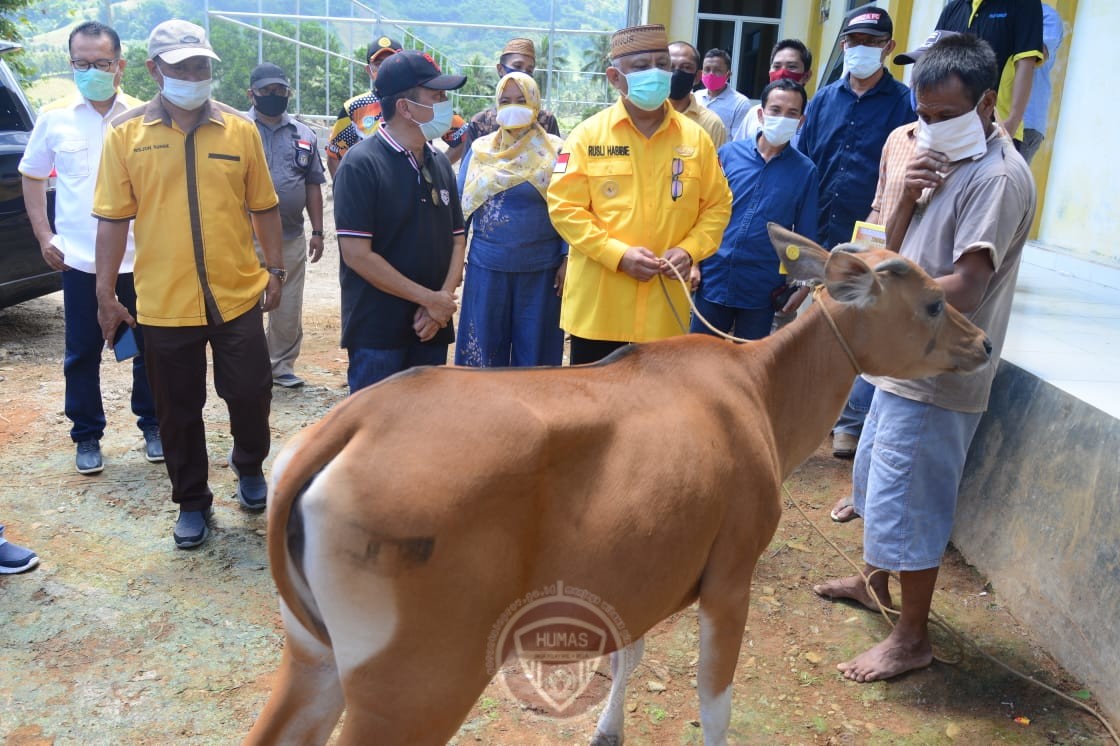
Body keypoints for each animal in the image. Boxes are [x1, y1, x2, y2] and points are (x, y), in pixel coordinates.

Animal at [245, 224, 990, 739]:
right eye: (932, 302)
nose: (983, 343)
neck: (759, 390)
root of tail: (349, 425)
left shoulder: (641, 570)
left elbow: (630, 652)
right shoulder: (731, 575)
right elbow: (715, 707)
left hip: (312, 652)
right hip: (416, 683)